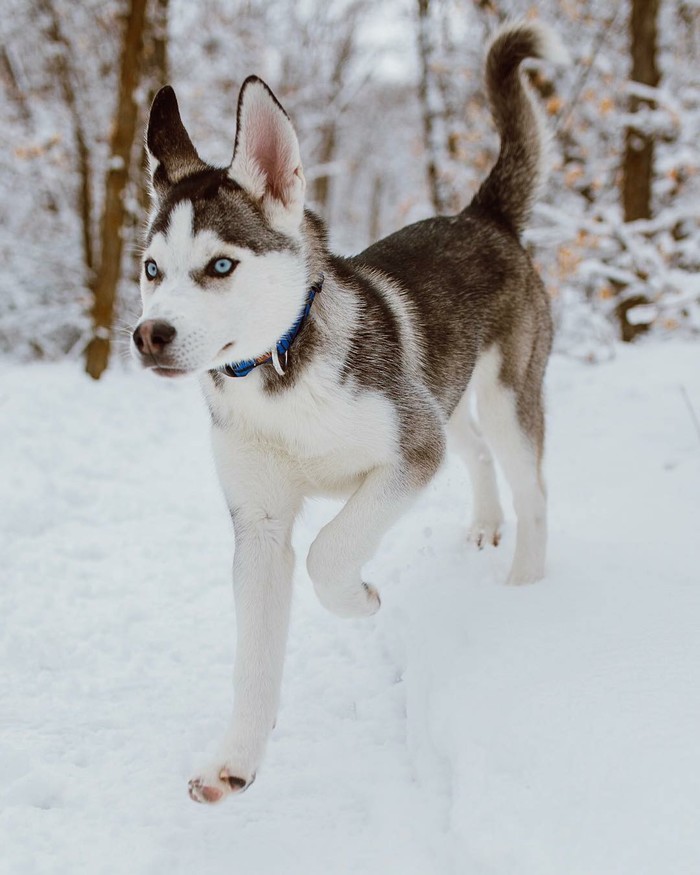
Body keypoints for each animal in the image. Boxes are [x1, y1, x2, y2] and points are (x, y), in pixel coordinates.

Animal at [134, 22, 568, 800]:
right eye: (152, 269)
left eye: (221, 266)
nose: (149, 334)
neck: (280, 375)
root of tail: (481, 216)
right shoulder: (260, 524)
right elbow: (254, 655)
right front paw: (236, 758)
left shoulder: (410, 451)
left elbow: (329, 550)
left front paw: (361, 598)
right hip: (446, 392)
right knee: (476, 450)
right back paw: (487, 524)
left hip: (504, 394)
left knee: (532, 487)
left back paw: (522, 584)